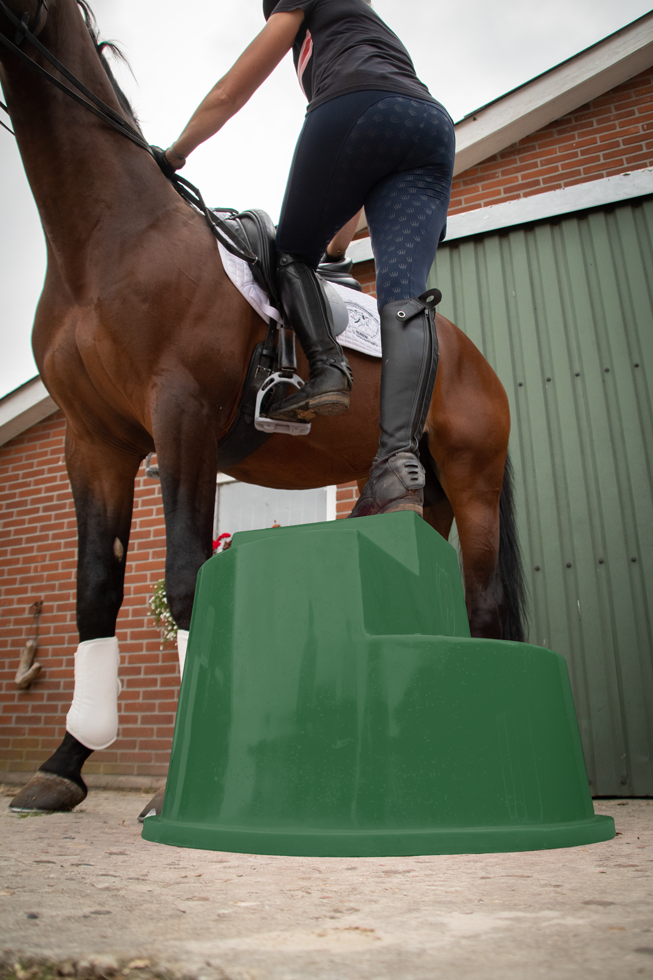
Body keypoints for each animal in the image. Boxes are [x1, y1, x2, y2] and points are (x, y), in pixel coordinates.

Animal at [1, 0, 526, 813]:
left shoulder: (180, 418)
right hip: (423, 491)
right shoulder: (94, 442)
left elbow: (188, 582)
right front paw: (63, 765)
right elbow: (93, 592)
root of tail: (470, 355)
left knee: (487, 609)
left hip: (473, 483)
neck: (108, 240)